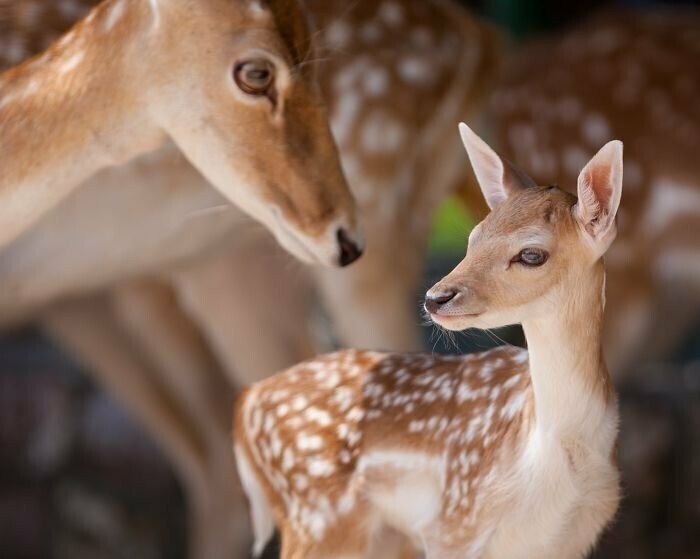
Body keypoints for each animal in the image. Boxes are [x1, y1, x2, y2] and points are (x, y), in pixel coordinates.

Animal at [237, 124, 624, 559]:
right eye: (474, 236)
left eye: (531, 254)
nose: (436, 297)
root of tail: (247, 402)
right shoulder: (452, 524)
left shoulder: (567, 539)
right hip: (319, 516)